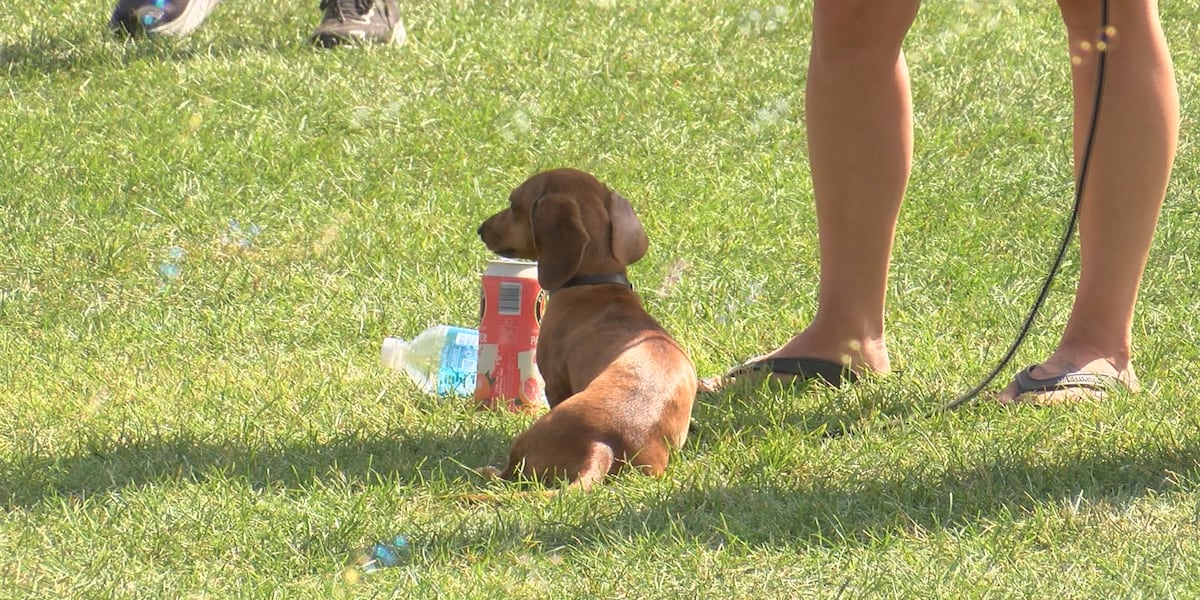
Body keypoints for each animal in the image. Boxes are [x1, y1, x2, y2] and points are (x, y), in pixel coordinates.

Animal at [475, 168, 700, 487]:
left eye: (513, 203)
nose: (481, 229)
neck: (595, 283)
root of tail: (601, 446)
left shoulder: (554, 383)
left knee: (509, 474)